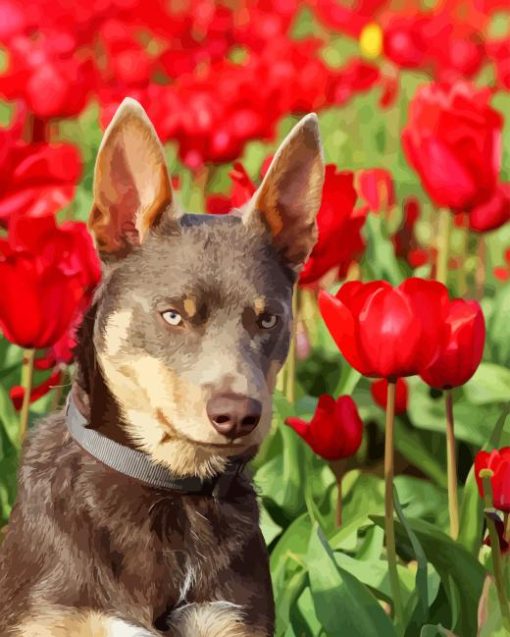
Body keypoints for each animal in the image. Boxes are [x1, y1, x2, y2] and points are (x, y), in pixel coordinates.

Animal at [0, 99, 322, 636]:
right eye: (173, 315)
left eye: (268, 319)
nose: (238, 416)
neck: (167, 487)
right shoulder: (54, 618)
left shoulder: (228, 616)